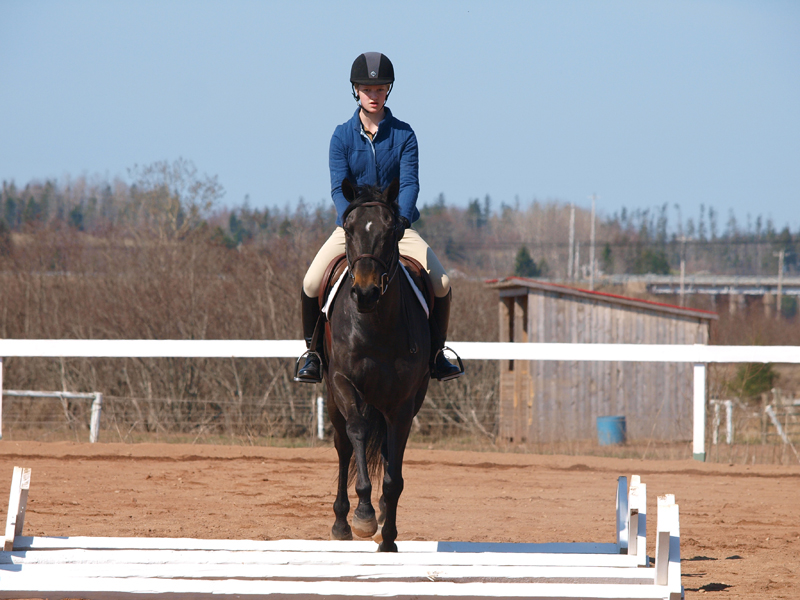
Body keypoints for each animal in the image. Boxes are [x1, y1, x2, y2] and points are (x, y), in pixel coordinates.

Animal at [323, 178, 431, 552]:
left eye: (391, 230)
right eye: (349, 229)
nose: (366, 293)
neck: (375, 324)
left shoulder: (402, 404)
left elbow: (394, 477)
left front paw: (388, 539)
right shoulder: (342, 382)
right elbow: (356, 432)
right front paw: (364, 515)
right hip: (333, 398)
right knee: (343, 448)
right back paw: (342, 522)